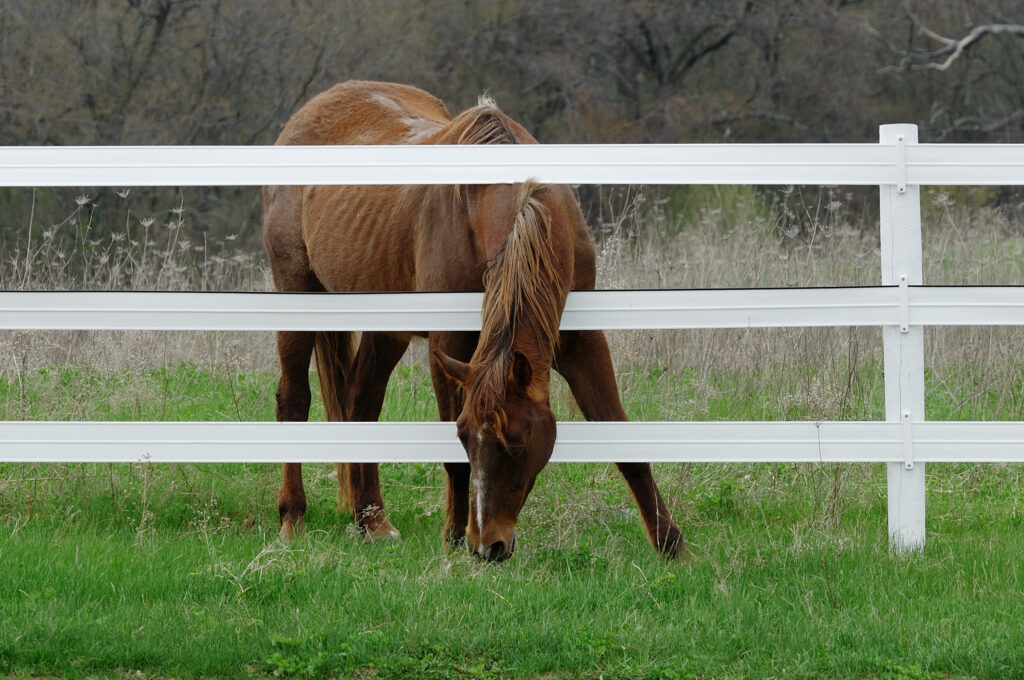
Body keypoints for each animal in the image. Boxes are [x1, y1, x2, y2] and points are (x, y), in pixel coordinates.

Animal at [262, 79, 688, 561]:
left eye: (517, 443)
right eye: (466, 437)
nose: (490, 546)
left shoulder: (581, 343)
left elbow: (626, 443)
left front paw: (673, 546)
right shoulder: (449, 342)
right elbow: (451, 457)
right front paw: (451, 538)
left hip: (385, 326)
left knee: (361, 402)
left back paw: (372, 522)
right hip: (297, 294)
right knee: (294, 400)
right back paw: (292, 519)